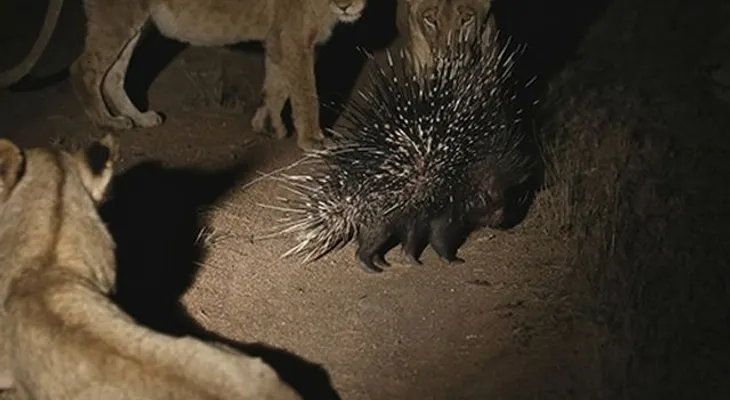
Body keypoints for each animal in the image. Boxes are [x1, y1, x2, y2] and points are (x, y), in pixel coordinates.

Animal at [70, 0, 368, 150]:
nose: (346, 6)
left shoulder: (278, 38)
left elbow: (275, 88)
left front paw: (267, 126)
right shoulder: (295, 40)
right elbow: (306, 95)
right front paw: (313, 140)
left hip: (132, 23)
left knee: (113, 76)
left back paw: (139, 118)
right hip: (116, 18)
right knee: (84, 68)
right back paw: (108, 122)